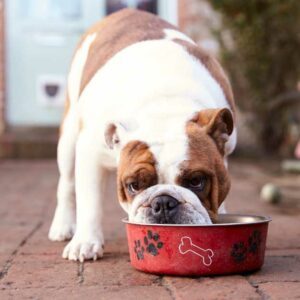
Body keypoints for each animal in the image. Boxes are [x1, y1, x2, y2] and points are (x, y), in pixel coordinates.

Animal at [48, 8, 237, 262]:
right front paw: (85, 242)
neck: (164, 107)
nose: (164, 202)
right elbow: (90, 201)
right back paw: (63, 226)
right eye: (133, 186)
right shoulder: (90, 153)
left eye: (197, 181)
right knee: (67, 183)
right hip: (69, 138)